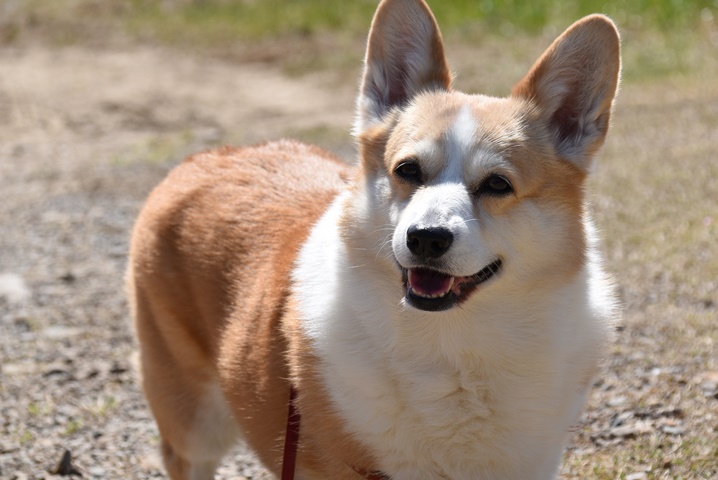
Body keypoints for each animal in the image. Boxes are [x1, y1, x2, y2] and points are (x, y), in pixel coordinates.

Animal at [126, 0, 620, 480]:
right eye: (407, 170)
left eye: (497, 184)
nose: (426, 239)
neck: (453, 346)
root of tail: (208, 156)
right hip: (194, 421)